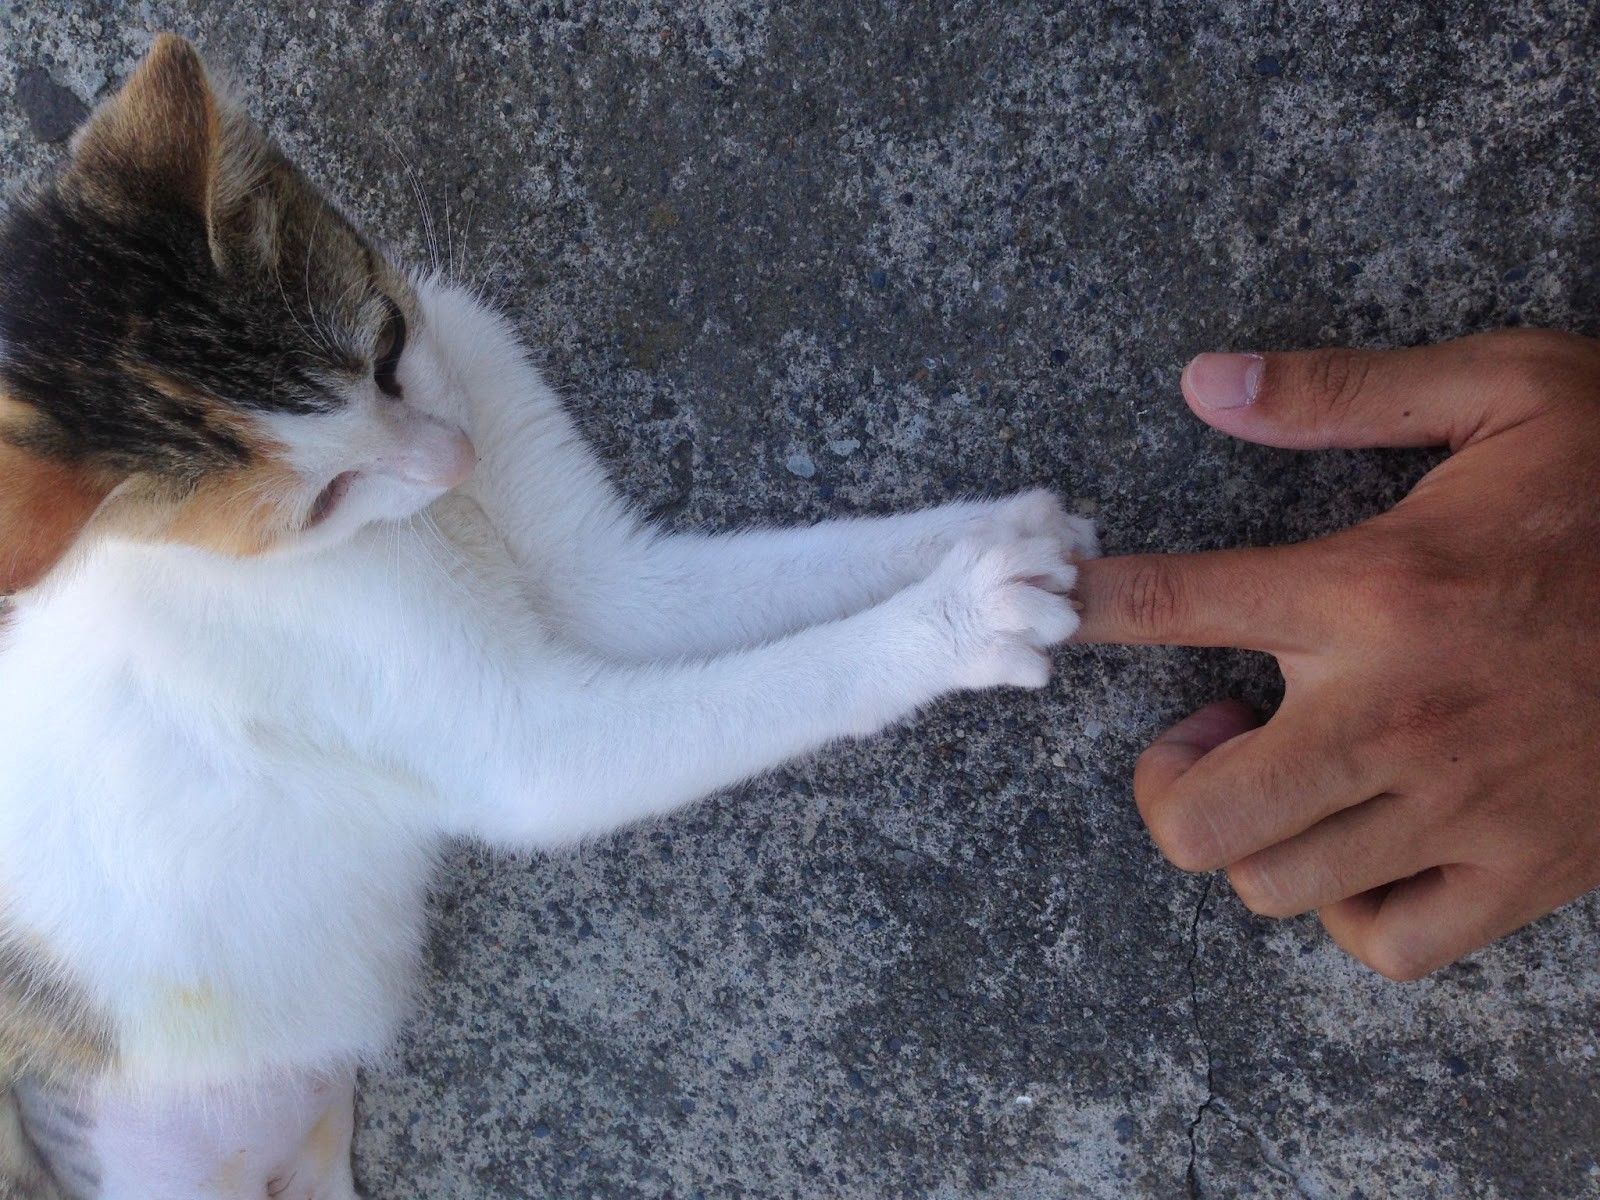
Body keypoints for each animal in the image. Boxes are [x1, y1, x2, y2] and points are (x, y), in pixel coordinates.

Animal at [0, 32, 1094, 1196]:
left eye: (389, 349)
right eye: (320, 500)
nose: (456, 459)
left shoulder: (597, 570)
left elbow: (788, 573)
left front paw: (992, 533)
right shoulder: (523, 747)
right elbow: (776, 685)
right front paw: (961, 621)